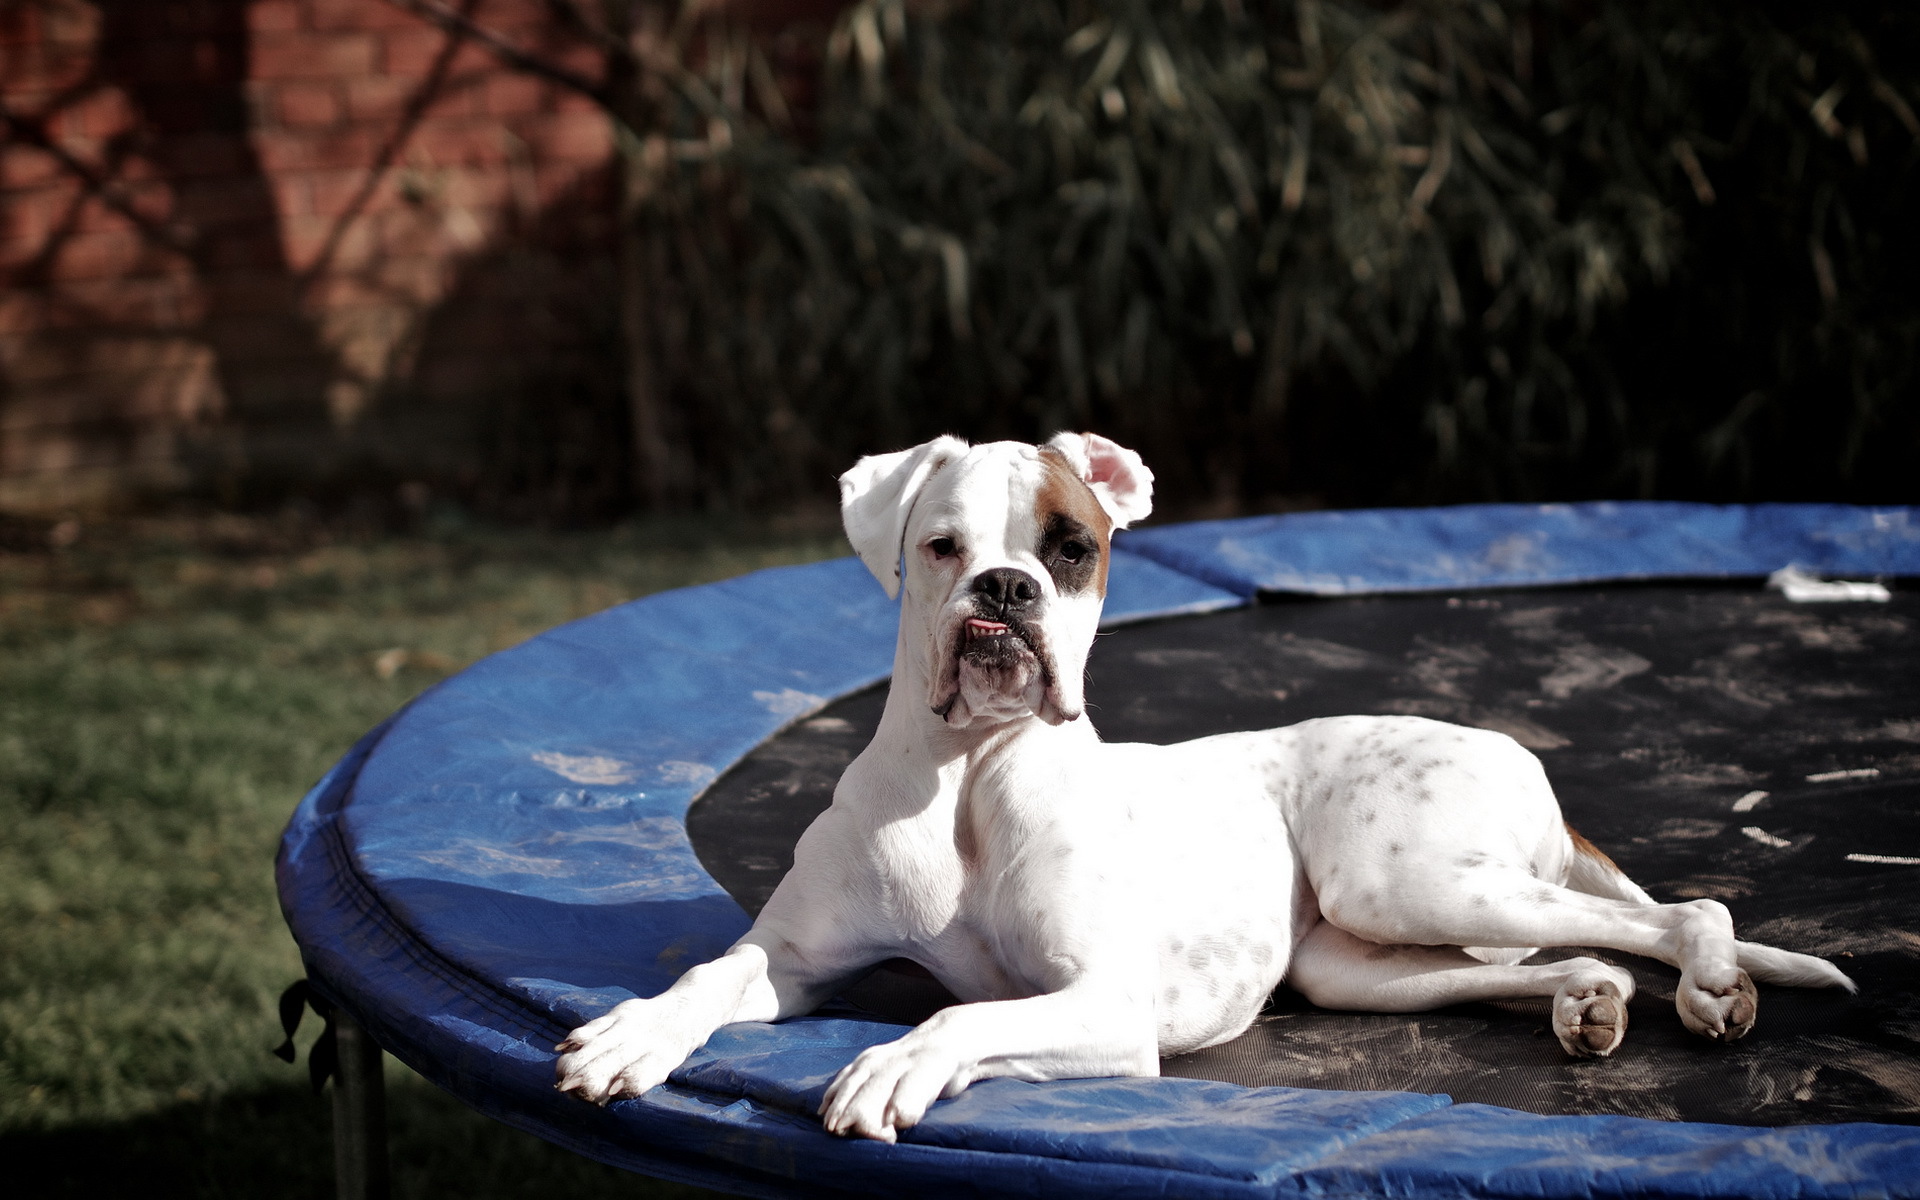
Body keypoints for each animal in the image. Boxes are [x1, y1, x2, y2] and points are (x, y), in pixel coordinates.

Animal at [560, 432, 1858, 1144]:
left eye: (1071, 549)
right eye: (941, 547)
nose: (1005, 592)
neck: (970, 773)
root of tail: (1511, 746)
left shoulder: (1106, 1006)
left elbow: (960, 1015)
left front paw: (893, 1063)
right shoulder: (786, 960)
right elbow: (706, 977)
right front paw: (632, 1035)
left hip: (1410, 881)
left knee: (1680, 911)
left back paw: (1712, 985)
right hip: (1359, 959)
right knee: (1578, 952)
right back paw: (1588, 1004)